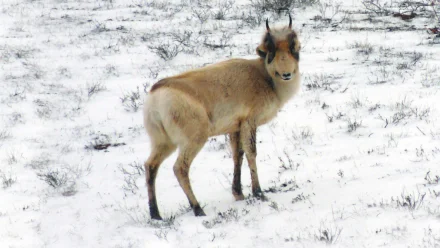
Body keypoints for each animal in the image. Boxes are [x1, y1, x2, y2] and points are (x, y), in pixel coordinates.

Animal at [144, 15, 302, 219]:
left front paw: (239, 193)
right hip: (193, 141)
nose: (286, 74)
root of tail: (156, 95)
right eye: (271, 51)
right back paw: (198, 209)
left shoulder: (235, 128)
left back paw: (156, 214)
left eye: (293, 47)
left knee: (150, 166)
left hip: (163, 144)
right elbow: (251, 153)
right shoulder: (249, 123)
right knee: (180, 168)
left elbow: (237, 155)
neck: (262, 75)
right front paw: (258, 193)